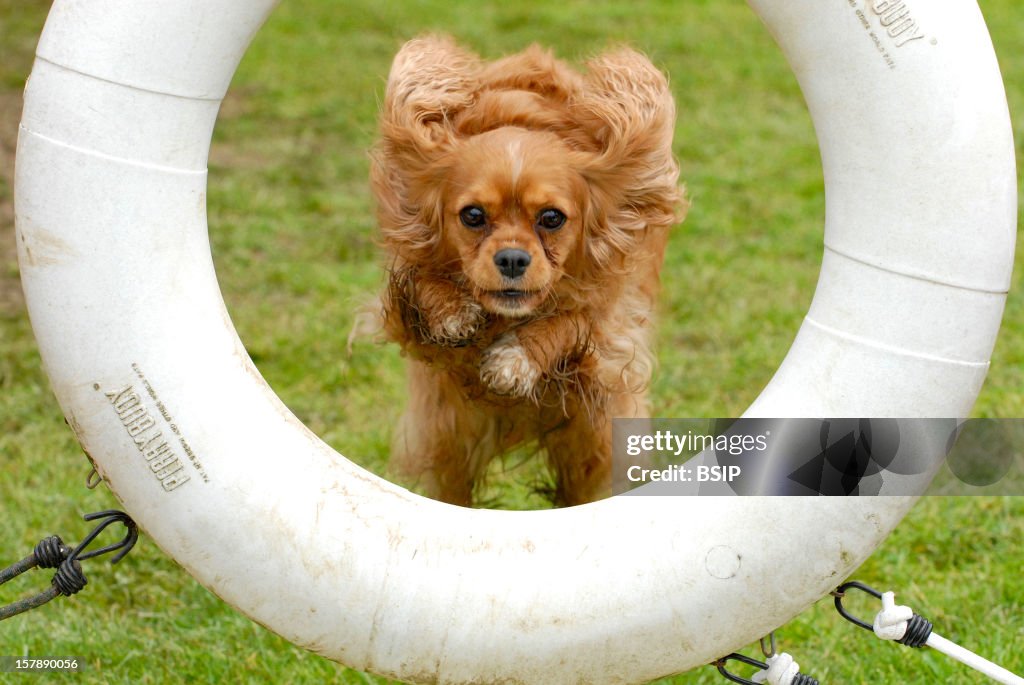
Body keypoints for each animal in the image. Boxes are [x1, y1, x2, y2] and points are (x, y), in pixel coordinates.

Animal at [364, 36, 684, 507]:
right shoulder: (404, 291)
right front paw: (451, 311)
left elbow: (570, 320)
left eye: (551, 218)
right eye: (473, 215)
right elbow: (423, 284)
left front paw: (516, 359)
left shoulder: (613, 326)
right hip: (447, 437)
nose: (513, 258)